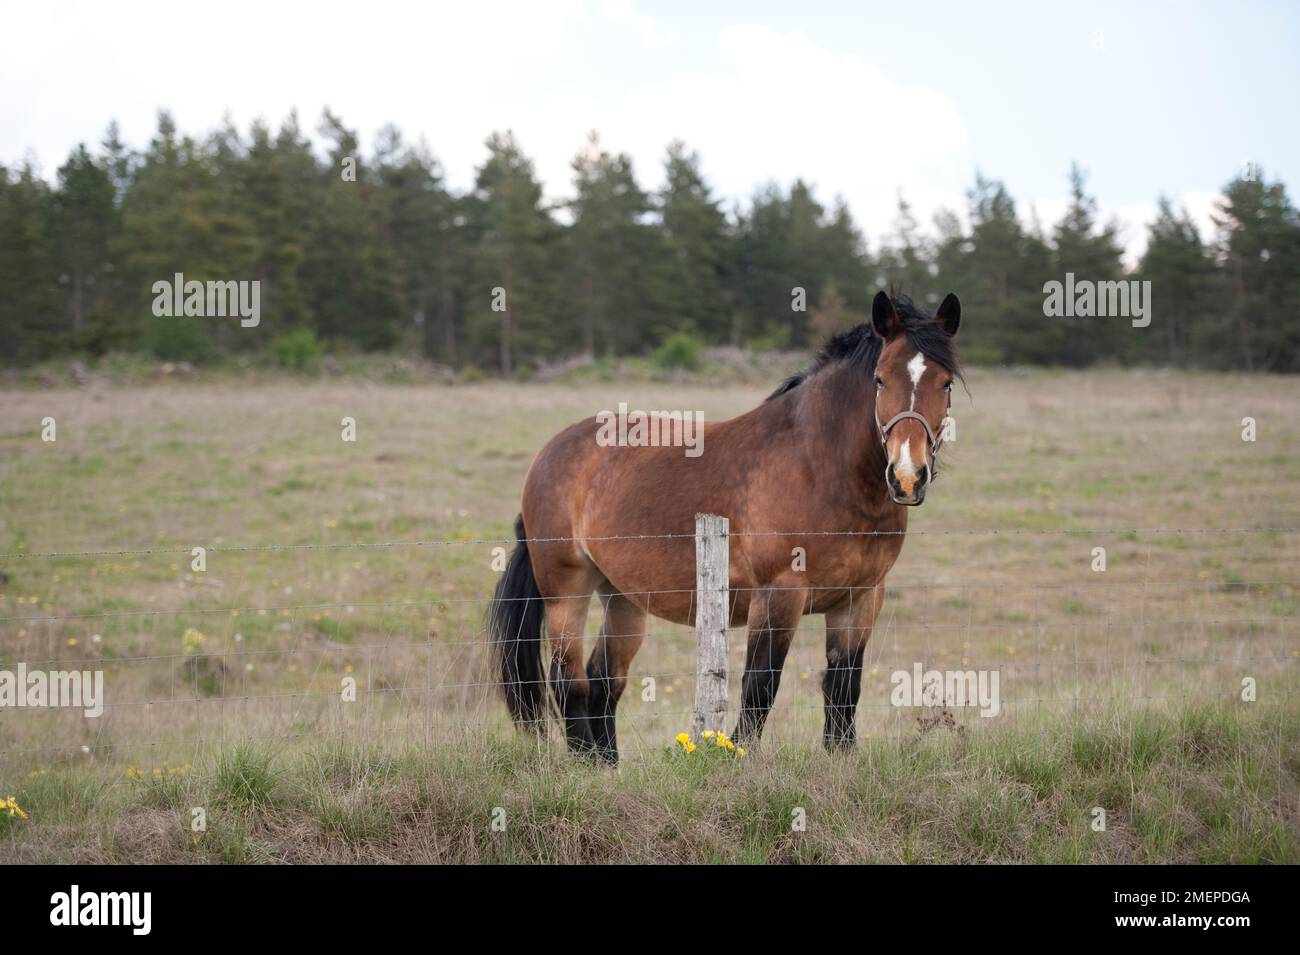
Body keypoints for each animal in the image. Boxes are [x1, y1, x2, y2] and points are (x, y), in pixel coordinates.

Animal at [491, 291, 961, 764]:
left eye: (946, 384)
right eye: (880, 380)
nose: (907, 476)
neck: (820, 465)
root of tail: (550, 453)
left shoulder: (861, 599)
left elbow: (844, 688)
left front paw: (839, 758)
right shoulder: (779, 594)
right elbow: (760, 686)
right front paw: (742, 759)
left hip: (622, 597)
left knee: (604, 680)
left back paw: (608, 767)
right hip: (567, 590)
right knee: (568, 679)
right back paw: (585, 768)